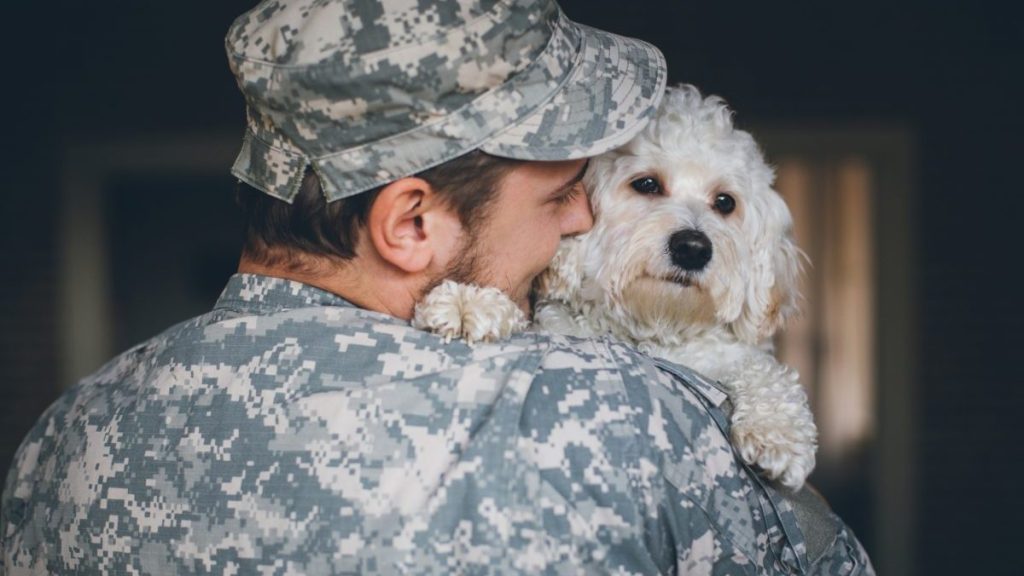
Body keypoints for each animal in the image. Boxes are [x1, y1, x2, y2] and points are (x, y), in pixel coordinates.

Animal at [411, 84, 819, 487]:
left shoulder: (724, 354)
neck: (652, 326)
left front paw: (778, 431)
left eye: (725, 202)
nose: (693, 248)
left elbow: (762, 368)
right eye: (647, 184)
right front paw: (469, 303)